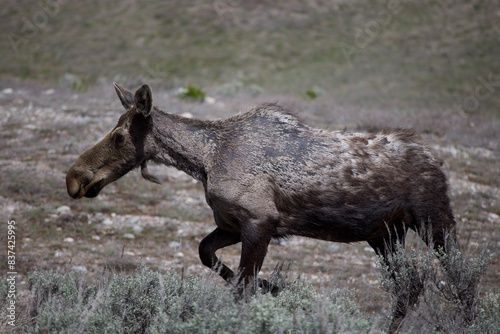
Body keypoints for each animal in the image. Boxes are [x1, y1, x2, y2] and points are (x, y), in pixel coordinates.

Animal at [65, 84, 458, 332]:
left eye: (119, 136)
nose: (74, 177)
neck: (204, 161)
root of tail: (436, 160)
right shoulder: (232, 224)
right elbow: (207, 253)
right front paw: (274, 287)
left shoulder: (260, 221)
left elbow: (242, 286)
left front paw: (269, 292)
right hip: (385, 235)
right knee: (408, 286)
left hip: (434, 220)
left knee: (456, 277)